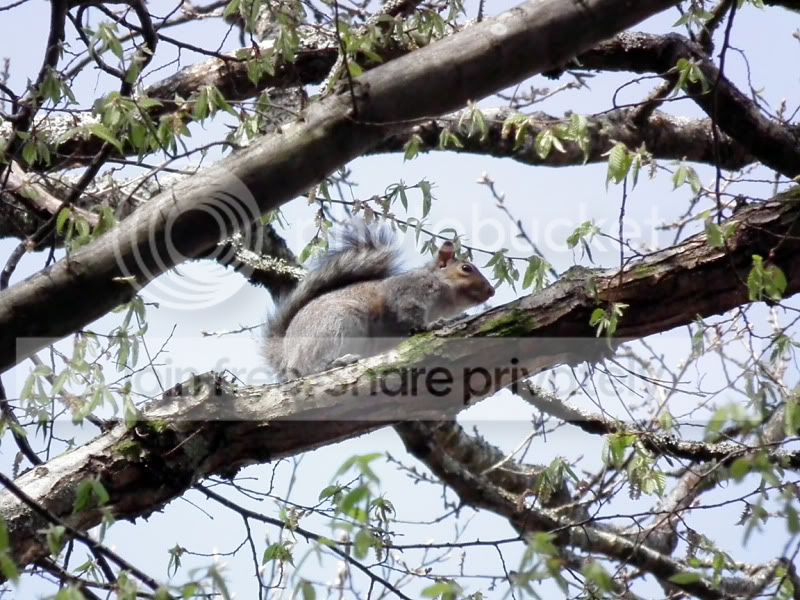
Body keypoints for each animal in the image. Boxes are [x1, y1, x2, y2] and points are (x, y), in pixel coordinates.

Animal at [263, 225, 495, 380]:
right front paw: (433, 325)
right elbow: (412, 317)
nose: (491, 291)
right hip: (338, 323)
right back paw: (336, 362)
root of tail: (286, 353)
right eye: (466, 268)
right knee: (310, 368)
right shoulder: (407, 293)